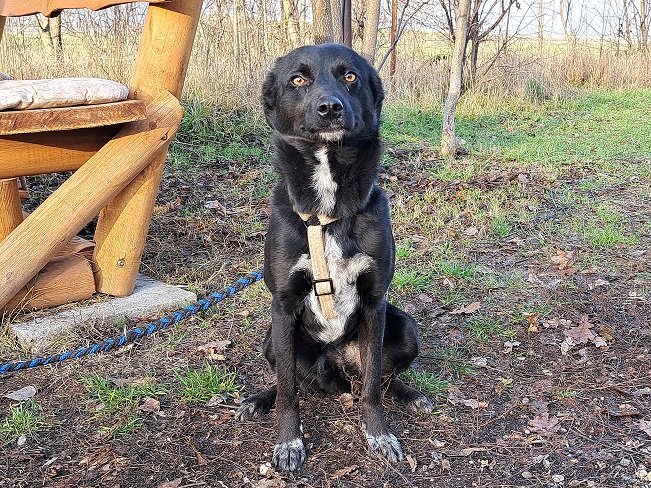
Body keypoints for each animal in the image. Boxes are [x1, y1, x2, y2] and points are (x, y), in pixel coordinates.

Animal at [235, 43, 432, 472]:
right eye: (298, 79)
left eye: (350, 76)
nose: (330, 108)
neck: (327, 213)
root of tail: (337, 367)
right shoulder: (283, 304)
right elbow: (288, 392)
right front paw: (289, 441)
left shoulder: (375, 302)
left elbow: (374, 385)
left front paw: (379, 434)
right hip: (272, 339)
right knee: (289, 381)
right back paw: (258, 399)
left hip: (404, 327)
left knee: (382, 379)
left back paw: (410, 394)